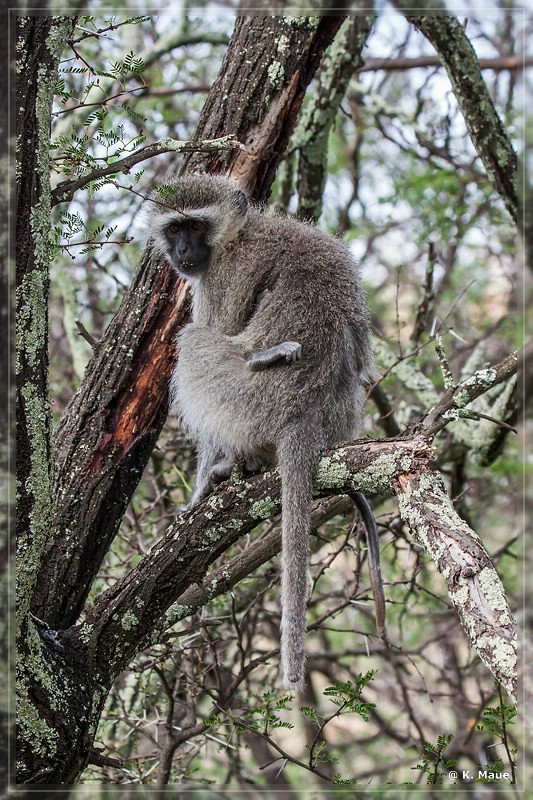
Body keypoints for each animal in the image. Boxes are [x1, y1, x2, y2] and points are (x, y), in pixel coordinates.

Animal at [148, 175, 380, 692]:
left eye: (195, 226)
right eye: (174, 229)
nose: (183, 251)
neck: (240, 233)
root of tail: (305, 414)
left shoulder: (223, 278)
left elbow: (219, 326)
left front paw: (200, 487)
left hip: (247, 400)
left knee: (194, 342)